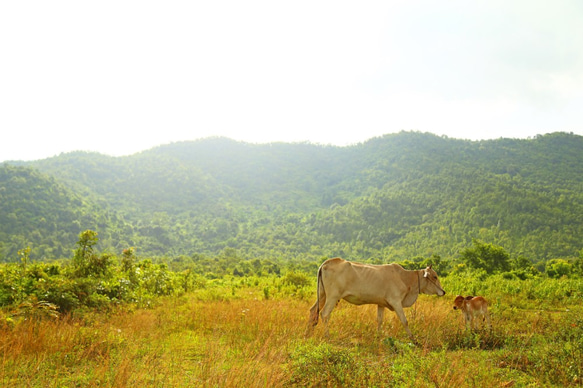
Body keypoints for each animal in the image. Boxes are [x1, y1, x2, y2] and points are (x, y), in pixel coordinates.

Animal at [310, 258, 448, 340]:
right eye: (434, 276)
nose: (443, 291)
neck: (405, 278)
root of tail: (326, 263)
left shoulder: (381, 304)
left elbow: (380, 320)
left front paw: (378, 336)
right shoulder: (396, 302)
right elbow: (405, 321)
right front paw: (413, 339)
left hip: (322, 295)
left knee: (313, 311)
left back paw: (308, 333)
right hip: (332, 296)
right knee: (324, 314)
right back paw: (327, 336)